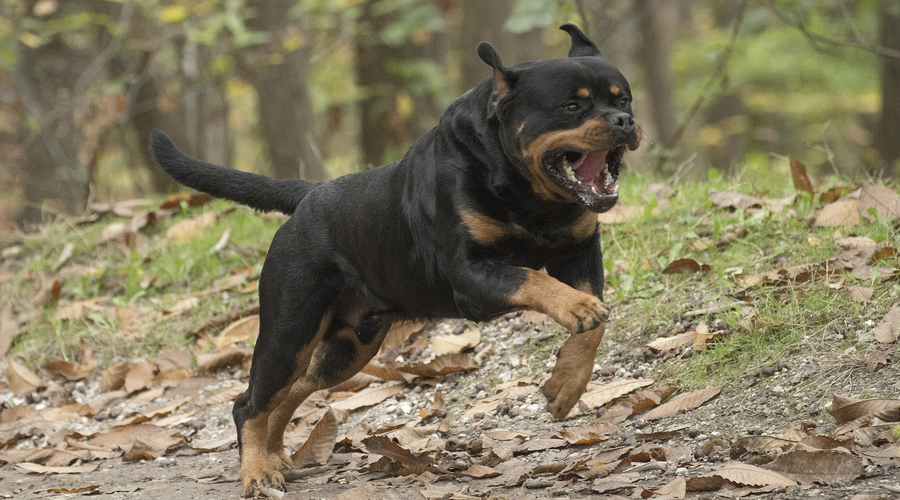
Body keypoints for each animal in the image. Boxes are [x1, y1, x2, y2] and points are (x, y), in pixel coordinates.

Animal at [149, 24, 640, 496]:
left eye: (624, 98)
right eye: (571, 107)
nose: (626, 120)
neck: (529, 196)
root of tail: (308, 197)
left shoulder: (579, 253)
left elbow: (592, 328)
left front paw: (566, 385)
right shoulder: (471, 277)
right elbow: (535, 281)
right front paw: (577, 309)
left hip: (350, 347)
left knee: (294, 390)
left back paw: (273, 456)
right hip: (290, 331)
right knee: (250, 402)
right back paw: (256, 472)